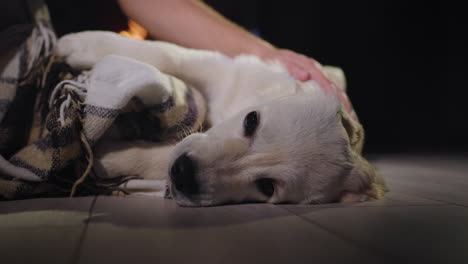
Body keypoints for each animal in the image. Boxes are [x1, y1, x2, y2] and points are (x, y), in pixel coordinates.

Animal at [56, 31, 386, 206]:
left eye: (267, 187)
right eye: (251, 121)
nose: (184, 175)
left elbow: (161, 157)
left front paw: (109, 157)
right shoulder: (227, 70)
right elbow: (169, 55)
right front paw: (77, 45)